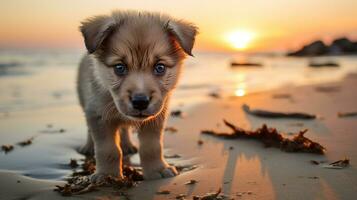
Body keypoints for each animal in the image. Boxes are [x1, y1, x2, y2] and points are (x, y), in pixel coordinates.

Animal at [76, 10, 197, 181]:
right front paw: (107, 175)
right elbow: (108, 150)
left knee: (124, 129)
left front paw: (157, 169)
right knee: (90, 130)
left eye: (160, 67)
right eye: (120, 67)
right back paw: (88, 146)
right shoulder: (99, 115)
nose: (140, 102)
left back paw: (127, 145)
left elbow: (152, 147)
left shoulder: (155, 119)